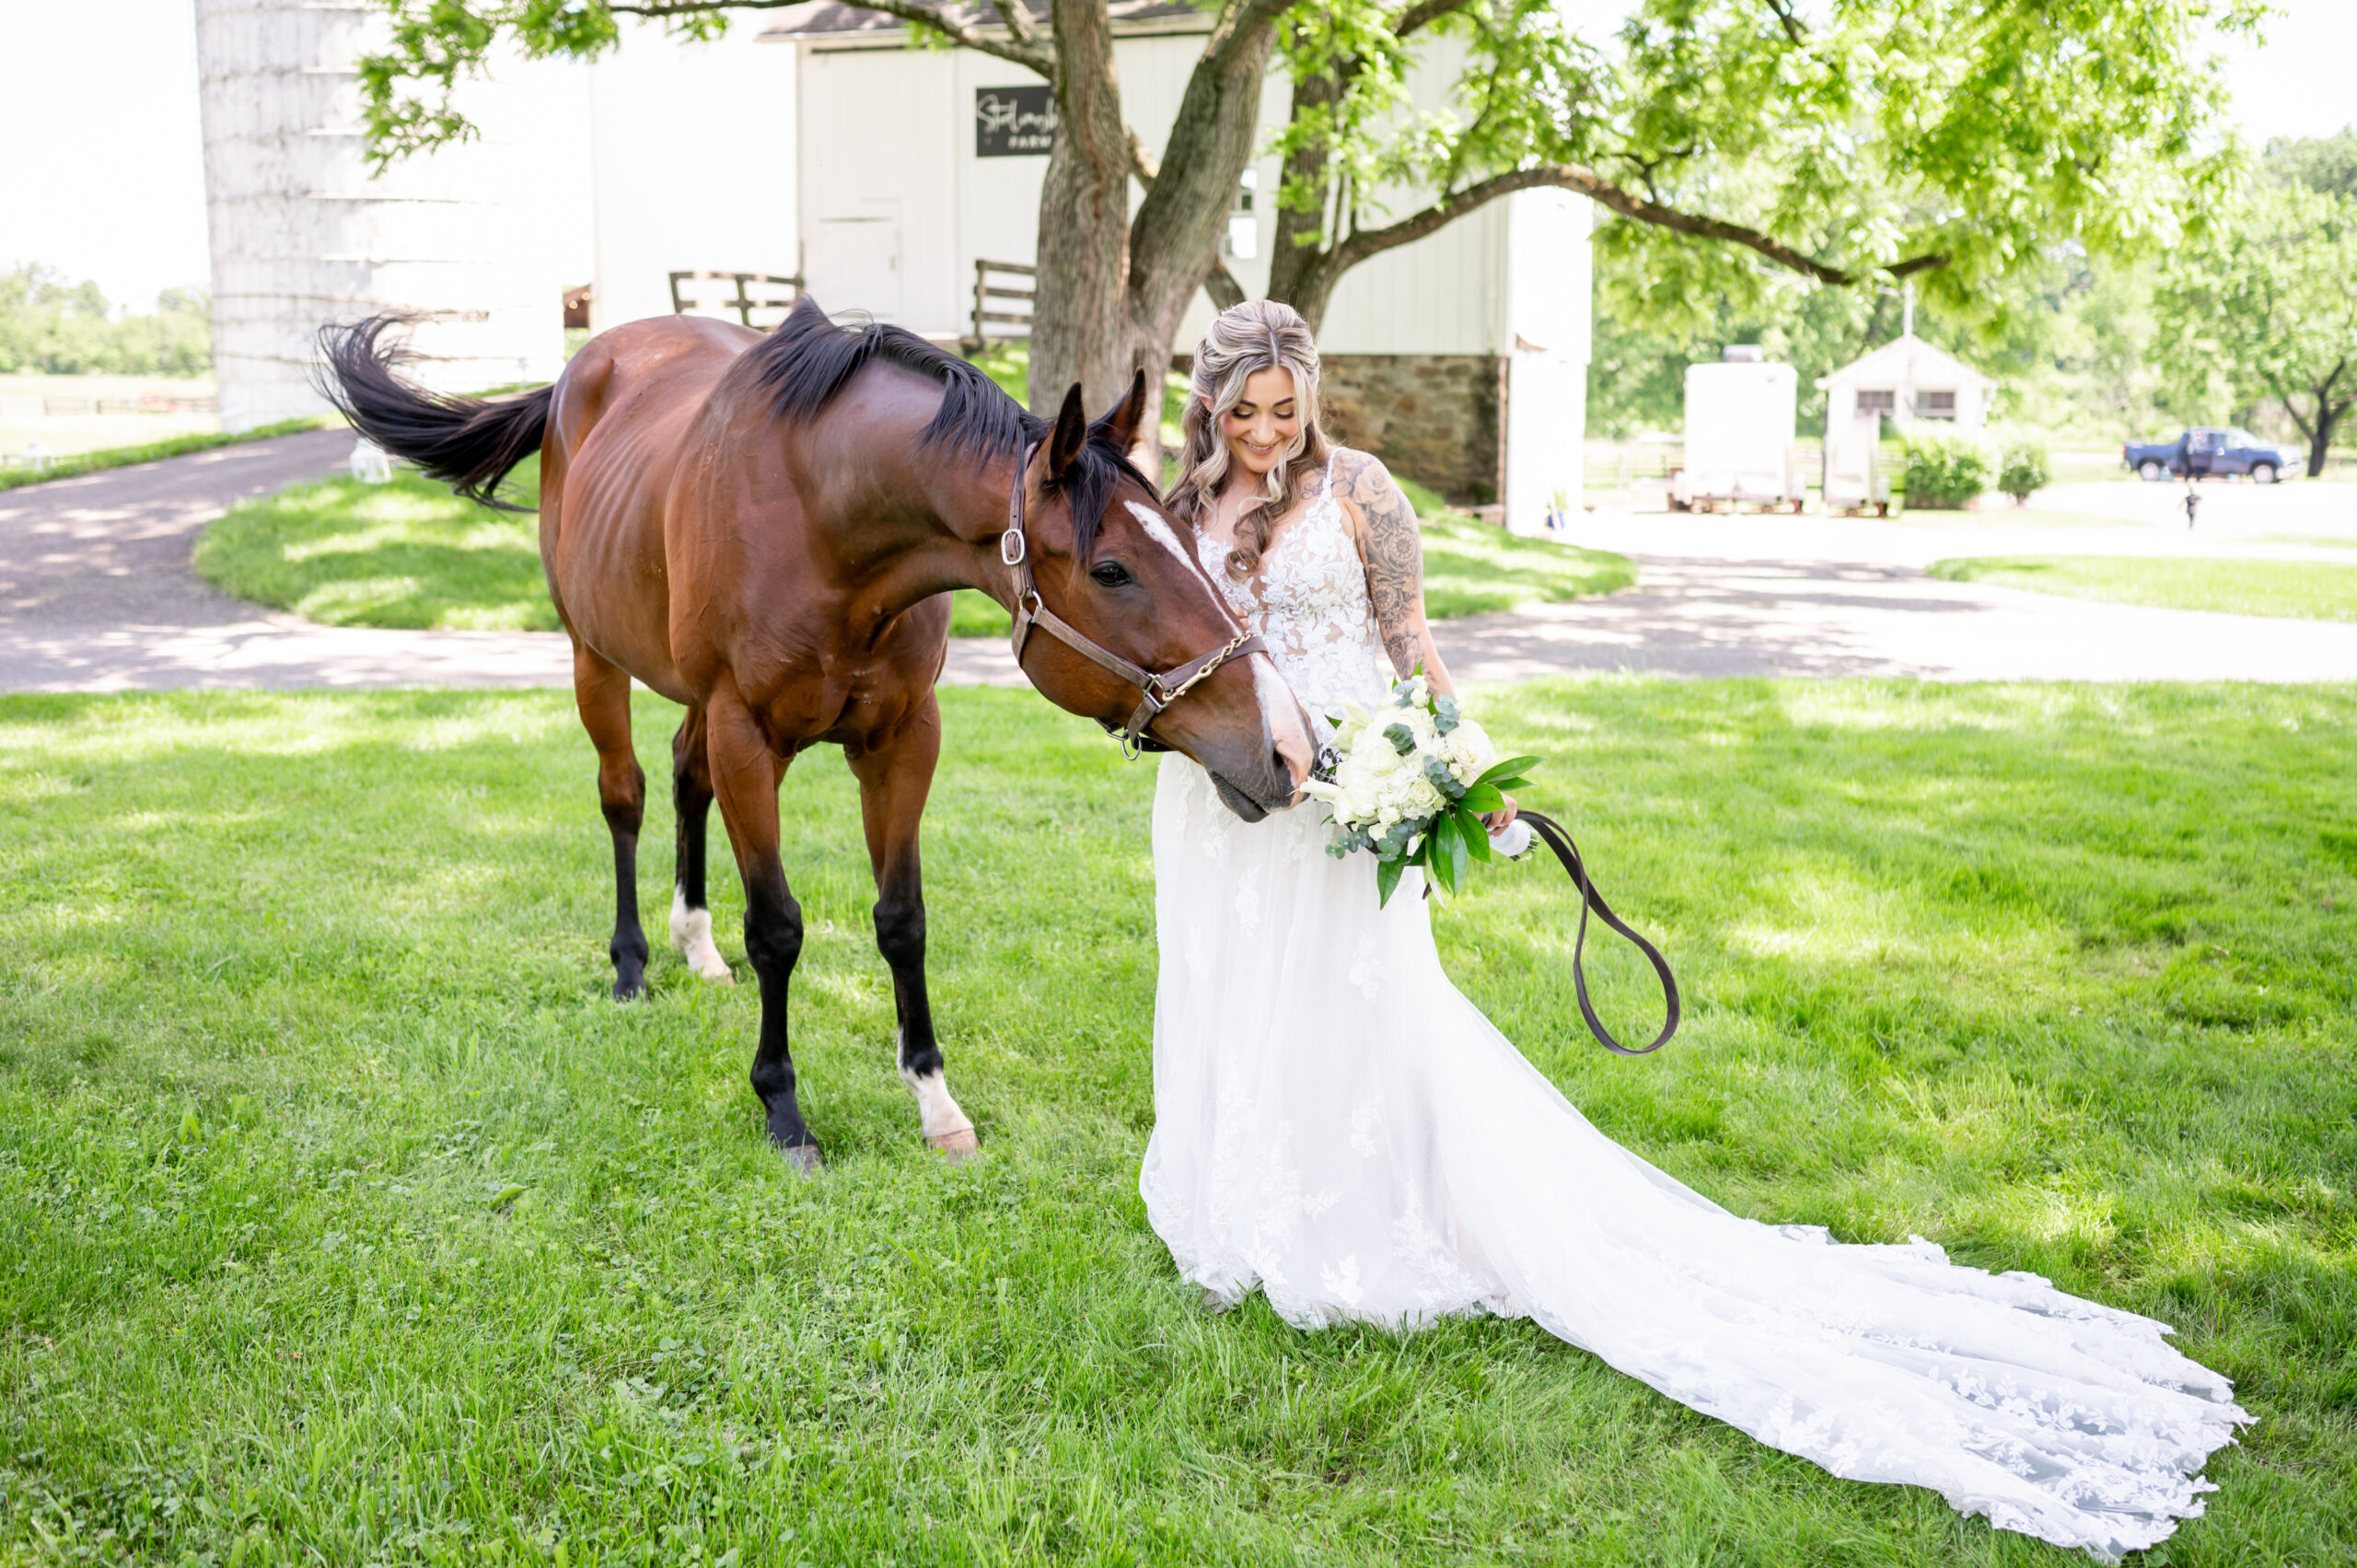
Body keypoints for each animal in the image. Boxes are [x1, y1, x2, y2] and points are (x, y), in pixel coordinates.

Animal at [318, 301, 1310, 1159]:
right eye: (1111, 569)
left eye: (1184, 527)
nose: (1286, 746)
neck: (826, 524)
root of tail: (578, 373)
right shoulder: (747, 734)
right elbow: (777, 927)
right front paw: (783, 1107)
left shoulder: (902, 738)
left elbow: (902, 919)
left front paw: (935, 1102)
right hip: (593, 658)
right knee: (625, 794)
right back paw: (632, 963)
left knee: (683, 779)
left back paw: (693, 942)